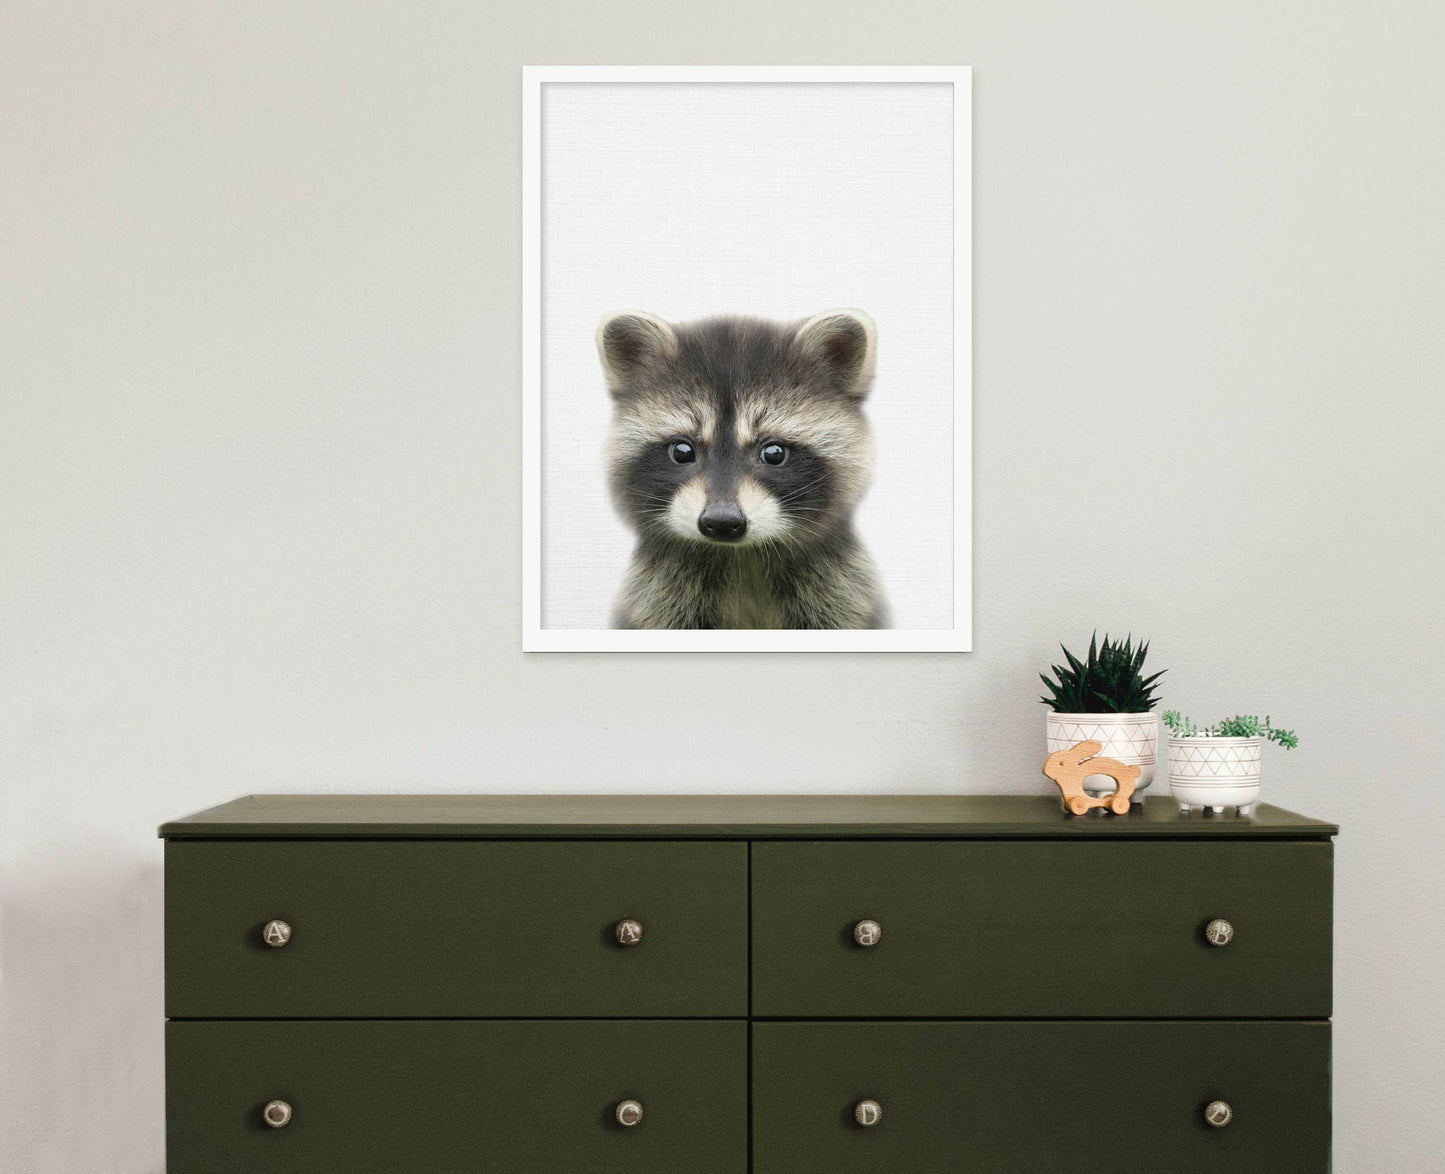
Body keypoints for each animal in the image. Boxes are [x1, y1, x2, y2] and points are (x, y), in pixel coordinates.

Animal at [598, 309, 887, 630]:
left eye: (774, 453)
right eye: (682, 451)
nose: (722, 521)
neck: (741, 558)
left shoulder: (839, 594)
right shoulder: (659, 597)